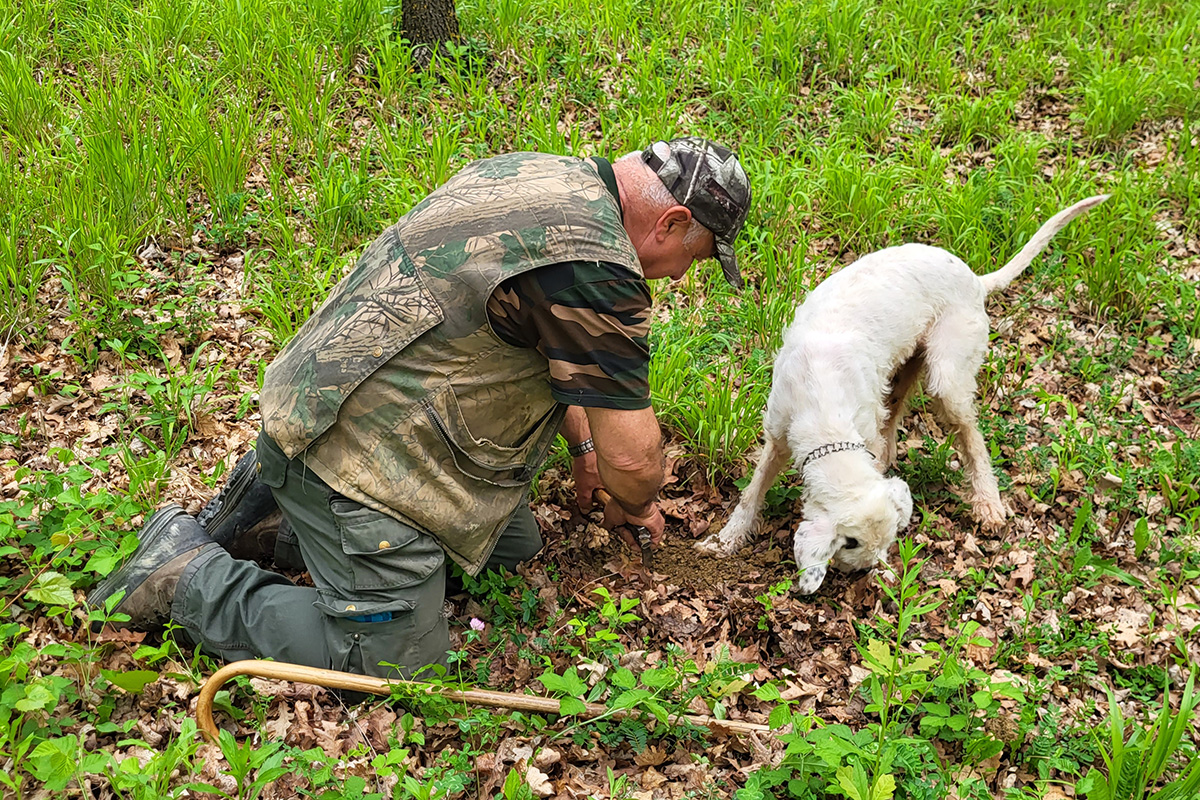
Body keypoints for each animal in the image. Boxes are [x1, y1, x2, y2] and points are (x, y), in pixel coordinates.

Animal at [700, 195, 1108, 594]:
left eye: (884, 550)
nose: (881, 584)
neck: (823, 407)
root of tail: (975, 279)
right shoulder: (778, 437)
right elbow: (751, 495)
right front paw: (724, 541)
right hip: (907, 363)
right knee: (896, 412)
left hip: (946, 377)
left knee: (971, 436)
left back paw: (988, 503)